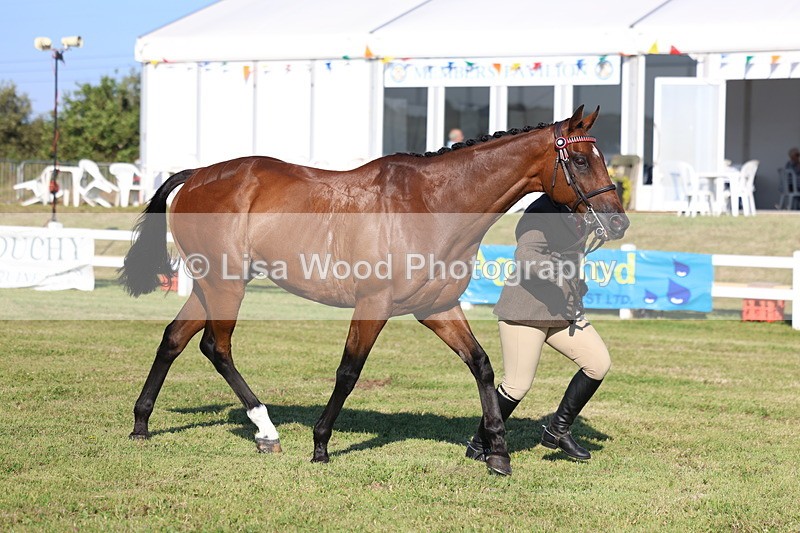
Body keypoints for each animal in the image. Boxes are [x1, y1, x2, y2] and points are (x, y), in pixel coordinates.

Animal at [119, 105, 629, 476]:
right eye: (579, 160)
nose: (619, 222)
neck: (431, 204)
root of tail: (198, 174)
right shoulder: (374, 305)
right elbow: (349, 371)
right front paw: (321, 445)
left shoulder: (438, 307)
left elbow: (482, 366)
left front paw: (497, 452)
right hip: (225, 285)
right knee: (216, 346)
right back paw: (266, 430)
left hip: (211, 284)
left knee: (174, 339)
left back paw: (142, 423)